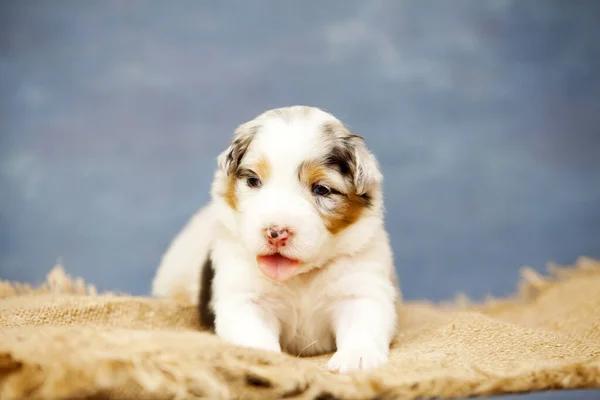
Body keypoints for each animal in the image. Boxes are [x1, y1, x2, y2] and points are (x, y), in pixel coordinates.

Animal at [152, 104, 400, 374]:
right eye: (253, 181)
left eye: (321, 189)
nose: (276, 232)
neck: (300, 277)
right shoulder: (244, 296)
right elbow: (252, 331)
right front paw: (261, 358)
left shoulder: (361, 288)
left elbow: (364, 321)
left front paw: (357, 358)